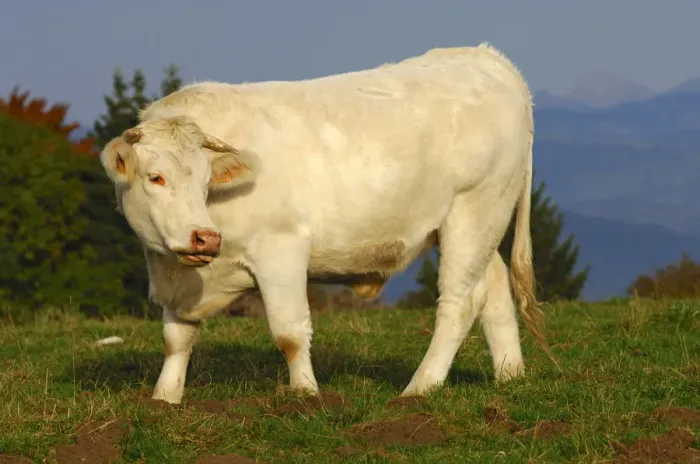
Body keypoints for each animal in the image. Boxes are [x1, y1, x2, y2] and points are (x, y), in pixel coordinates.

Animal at [99, 42, 544, 404]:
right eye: (156, 177)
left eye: (207, 180)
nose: (204, 238)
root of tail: (486, 57)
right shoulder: (176, 277)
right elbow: (177, 338)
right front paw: (164, 399)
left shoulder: (281, 249)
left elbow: (289, 333)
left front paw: (305, 394)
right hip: (478, 224)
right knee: (493, 288)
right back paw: (510, 375)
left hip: (473, 211)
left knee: (459, 302)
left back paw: (419, 388)